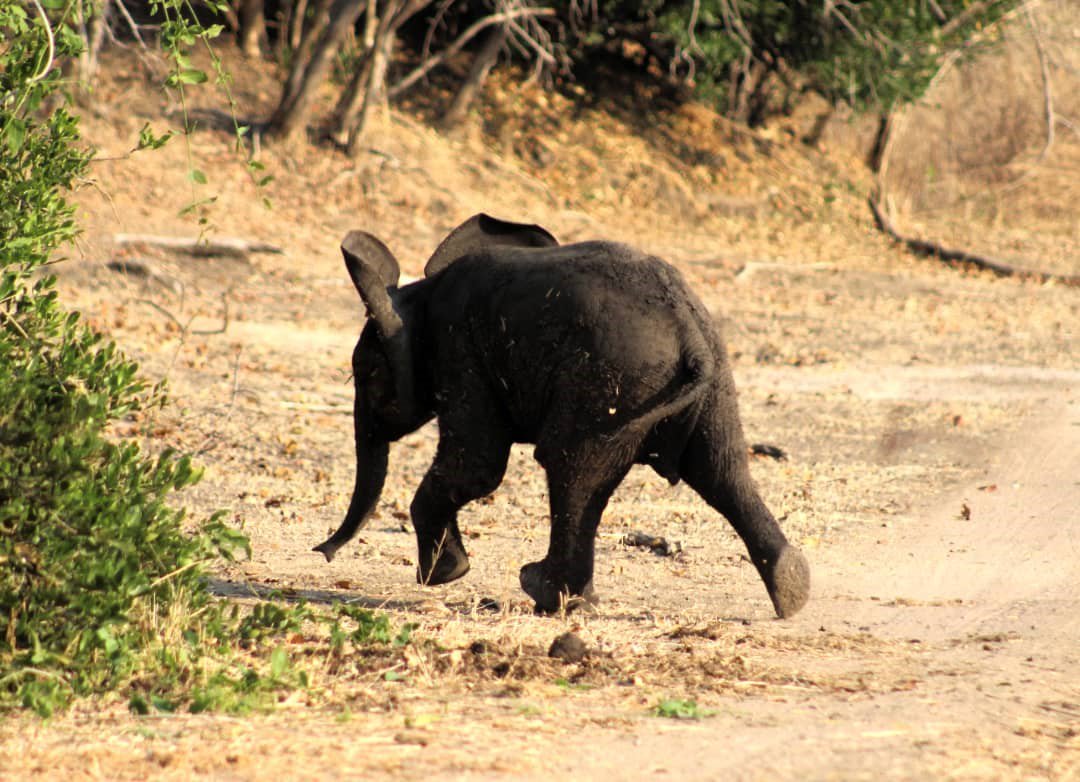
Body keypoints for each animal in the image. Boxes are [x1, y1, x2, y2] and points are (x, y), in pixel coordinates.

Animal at [314, 214, 810, 618]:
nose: (323, 553)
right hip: (706, 387)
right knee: (722, 472)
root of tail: (692, 338)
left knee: (570, 468)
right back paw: (791, 591)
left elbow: (476, 468)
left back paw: (545, 594)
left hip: (610, 380)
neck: (416, 300)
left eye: (366, 373)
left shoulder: (460, 352)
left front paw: (444, 575)